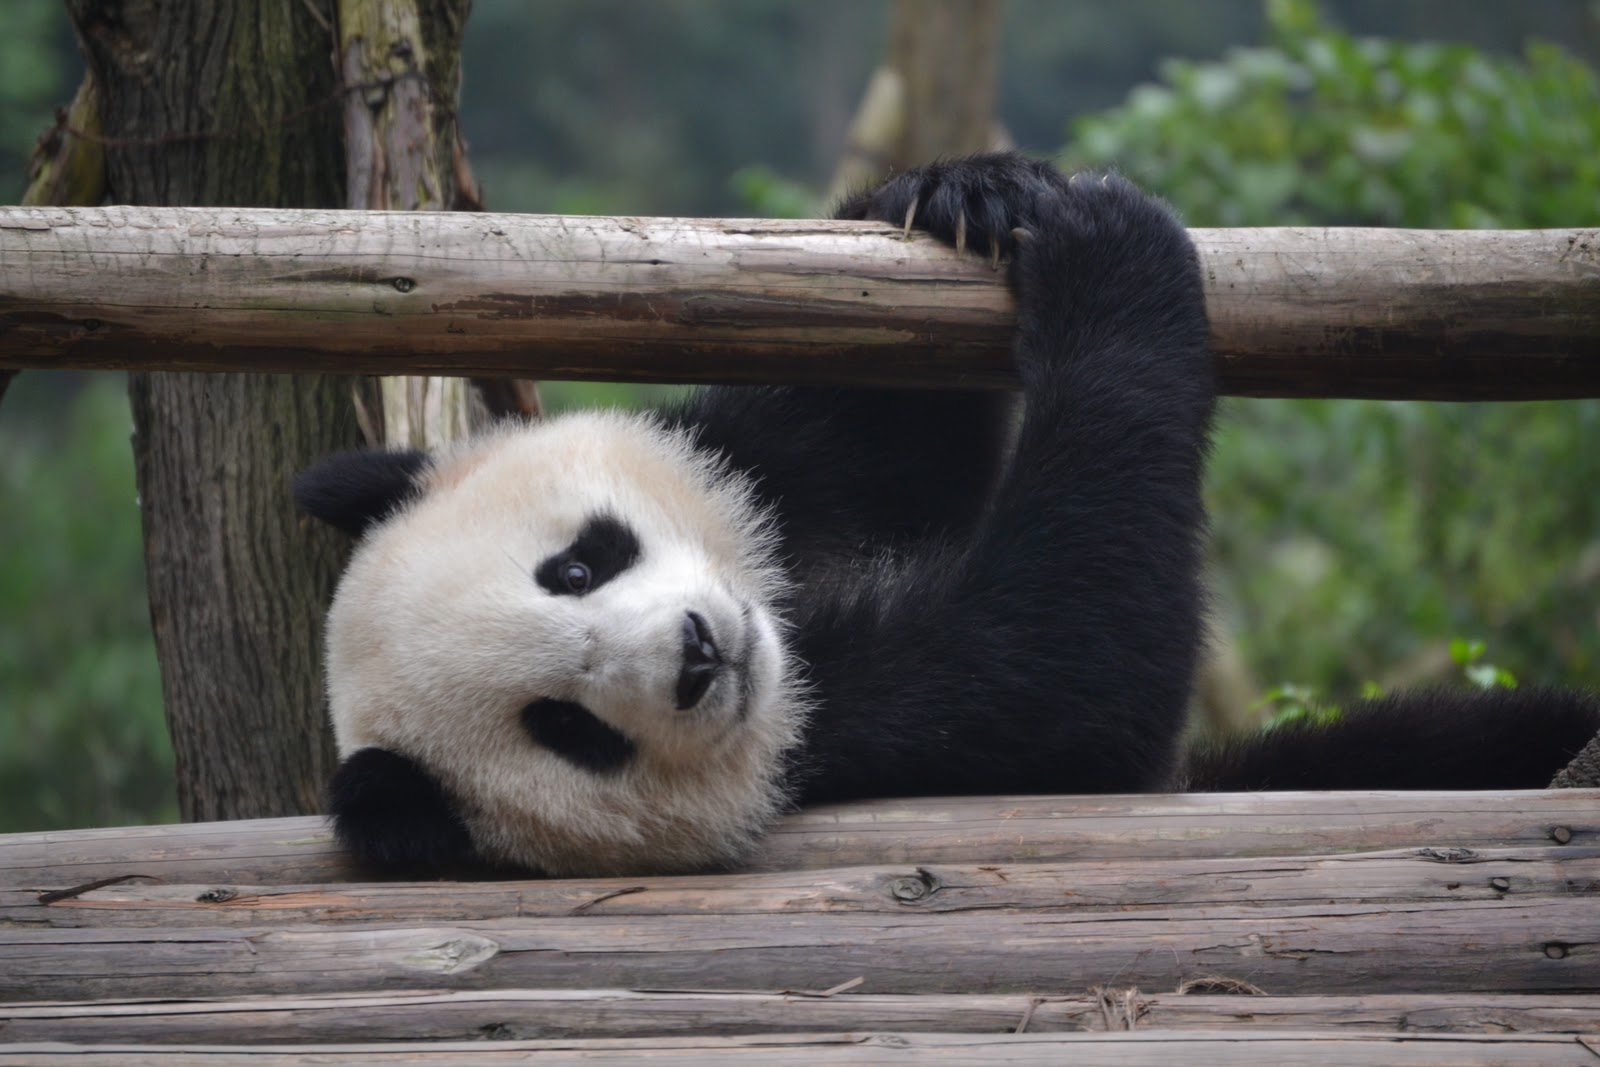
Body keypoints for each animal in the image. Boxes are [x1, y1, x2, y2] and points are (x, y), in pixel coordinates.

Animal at [295, 153, 1600, 877]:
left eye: (577, 563)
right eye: (567, 728)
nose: (702, 652)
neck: (789, 636)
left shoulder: (756, 471)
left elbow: (872, 426)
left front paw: (967, 191)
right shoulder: (856, 739)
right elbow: (1067, 667)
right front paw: (1110, 259)